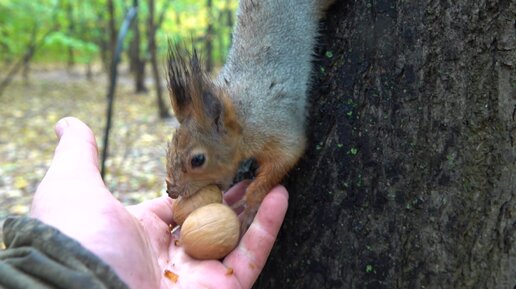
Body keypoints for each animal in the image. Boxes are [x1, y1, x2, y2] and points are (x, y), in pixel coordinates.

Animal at [165, 0, 334, 232]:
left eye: (197, 160)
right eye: (169, 147)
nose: (171, 191)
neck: (242, 117)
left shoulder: (275, 127)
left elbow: (287, 156)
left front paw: (250, 202)